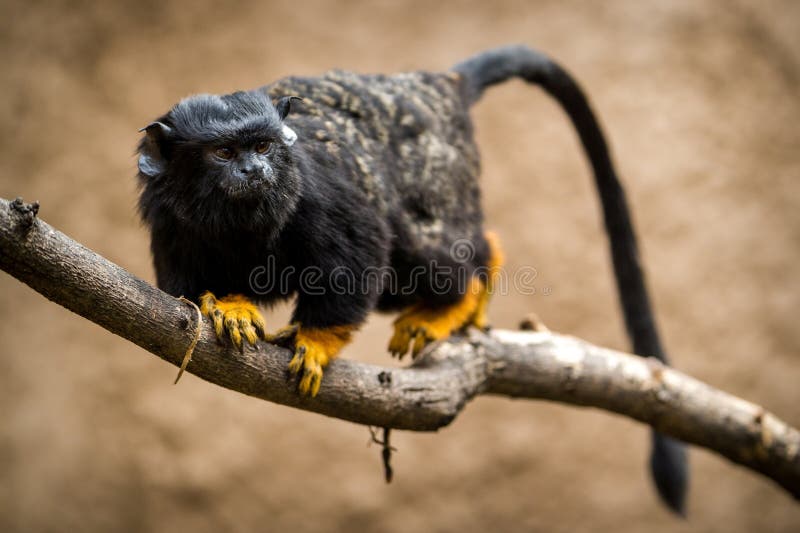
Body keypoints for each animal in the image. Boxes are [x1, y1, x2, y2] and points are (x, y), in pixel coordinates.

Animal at [136, 45, 688, 514]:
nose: (255, 170)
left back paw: (467, 288)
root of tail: (439, 85)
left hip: (439, 181)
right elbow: (184, 290)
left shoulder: (320, 190)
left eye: (264, 146)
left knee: (428, 244)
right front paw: (228, 306)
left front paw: (316, 340)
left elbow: (359, 248)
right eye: (225, 153)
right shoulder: (170, 223)